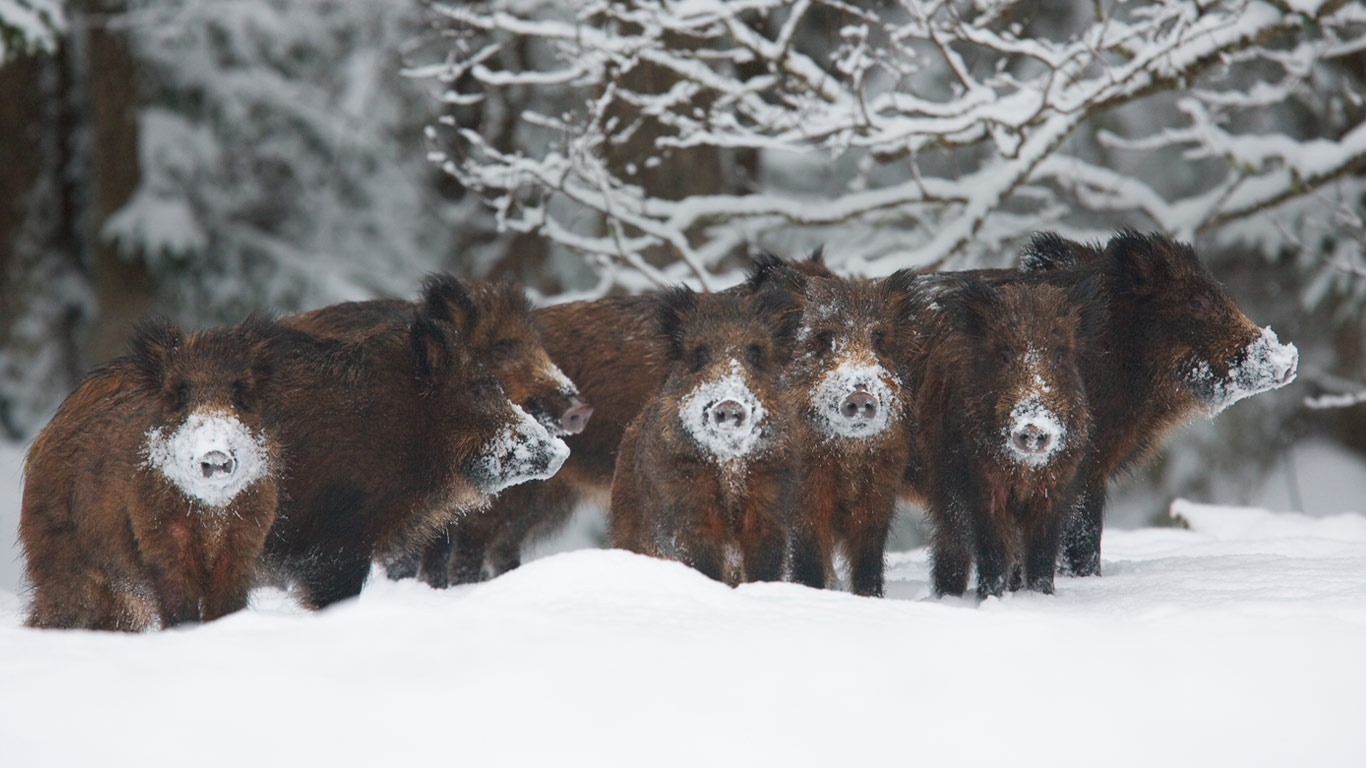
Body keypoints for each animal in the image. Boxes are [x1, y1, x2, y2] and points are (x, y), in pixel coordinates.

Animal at [20, 315, 283, 630]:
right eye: (181, 393)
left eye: (238, 391)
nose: (216, 454)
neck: (210, 514)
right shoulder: (159, 534)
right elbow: (178, 602)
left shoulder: (244, 538)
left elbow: (226, 604)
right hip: (63, 560)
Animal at [608, 282, 803, 584]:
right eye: (699, 354)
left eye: (755, 354)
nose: (729, 404)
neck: (729, 466)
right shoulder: (686, 503)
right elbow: (702, 562)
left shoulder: (771, 502)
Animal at [918, 279, 1103, 598]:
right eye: (1004, 356)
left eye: (1060, 355)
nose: (1033, 428)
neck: (1025, 471)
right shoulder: (982, 487)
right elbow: (992, 552)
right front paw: (990, 598)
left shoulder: (1055, 491)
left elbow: (1042, 554)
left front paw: (1043, 596)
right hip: (944, 484)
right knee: (951, 542)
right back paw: (947, 594)